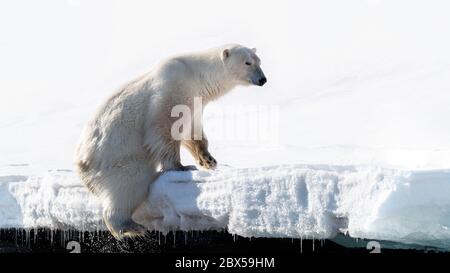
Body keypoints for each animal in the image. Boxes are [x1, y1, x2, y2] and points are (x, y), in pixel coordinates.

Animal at [72, 43, 266, 237]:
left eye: (259, 61)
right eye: (247, 62)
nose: (262, 79)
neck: (196, 75)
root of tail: (81, 164)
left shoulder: (195, 100)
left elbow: (192, 131)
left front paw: (208, 160)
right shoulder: (172, 87)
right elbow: (164, 127)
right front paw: (182, 167)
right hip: (119, 161)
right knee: (127, 187)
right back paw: (131, 229)